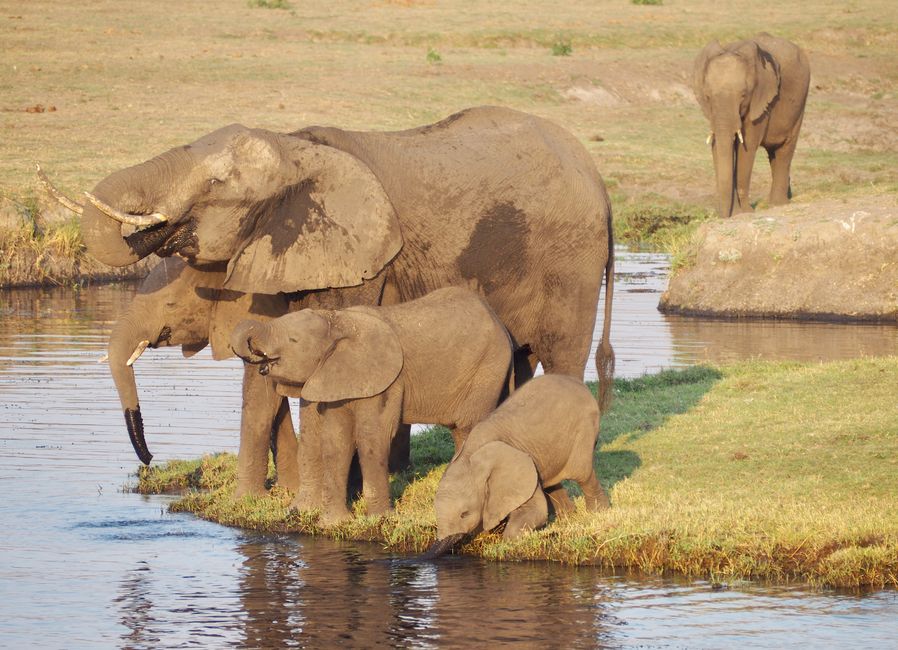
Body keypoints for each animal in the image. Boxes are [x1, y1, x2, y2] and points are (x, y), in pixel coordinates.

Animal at [229, 286, 512, 524]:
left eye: (292, 340)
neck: (337, 321)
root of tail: (502, 326)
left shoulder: (386, 380)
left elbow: (373, 436)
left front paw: (379, 519)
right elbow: (335, 441)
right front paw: (333, 523)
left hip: (488, 370)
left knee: (469, 428)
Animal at [424, 372, 604, 556]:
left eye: (464, 514)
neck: (469, 454)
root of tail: (581, 385)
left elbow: (536, 510)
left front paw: (506, 543)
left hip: (584, 430)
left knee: (582, 474)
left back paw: (597, 512)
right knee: (552, 483)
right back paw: (567, 517)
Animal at [688, 32, 808, 218]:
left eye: (744, 95)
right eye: (707, 96)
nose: (723, 215)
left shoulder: (760, 101)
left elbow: (747, 147)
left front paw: (743, 212)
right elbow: (718, 146)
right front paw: (735, 212)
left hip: (800, 104)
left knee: (784, 150)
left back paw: (777, 204)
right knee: (773, 154)